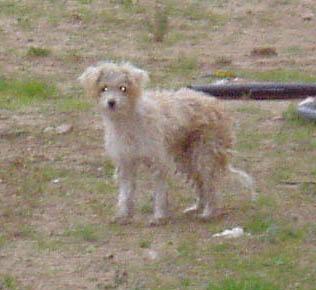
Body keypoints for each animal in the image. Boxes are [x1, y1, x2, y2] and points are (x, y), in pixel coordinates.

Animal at [78, 60, 254, 224]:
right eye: (104, 88)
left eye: (123, 88)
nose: (111, 102)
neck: (129, 119)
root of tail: (215, 103)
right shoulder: (126, 162)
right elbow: (126, 192)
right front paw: (123, 215)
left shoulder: (158, 162)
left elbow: (159, 192)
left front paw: (158, 217)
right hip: (186, 159)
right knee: (200, 183)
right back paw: (197, 207)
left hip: (204, 155)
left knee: (210, 185)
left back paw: (209, 212)